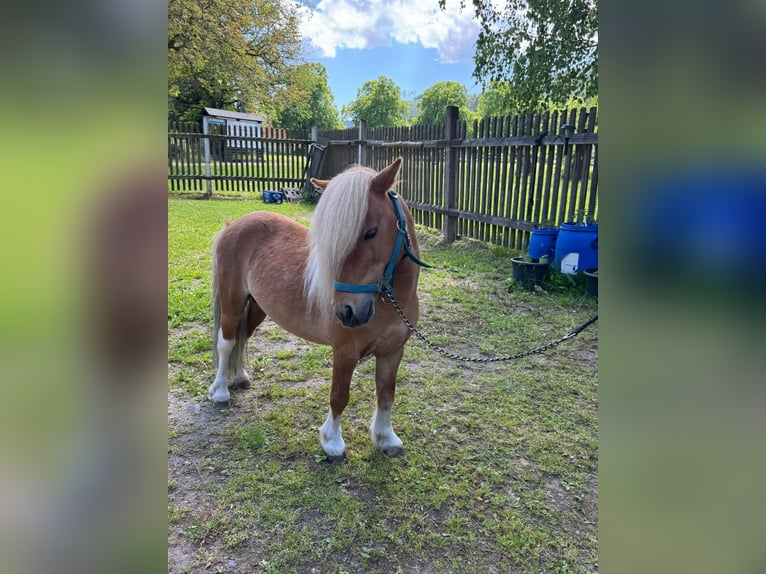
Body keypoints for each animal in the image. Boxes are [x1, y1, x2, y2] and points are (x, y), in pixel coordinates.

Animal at [208, 158, 424, 461]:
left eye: (371, 232)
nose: (347, 312)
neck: (390, 302)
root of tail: (233, 225)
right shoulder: (344, 352)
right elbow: (339, 396)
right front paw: (332, 443)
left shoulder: (393, 352)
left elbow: (386, 394)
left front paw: (385, 438)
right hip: (232, 304)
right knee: (226, 344)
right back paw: (220, 392)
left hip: (258, 309)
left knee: (242, 338)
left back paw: (238, 377)